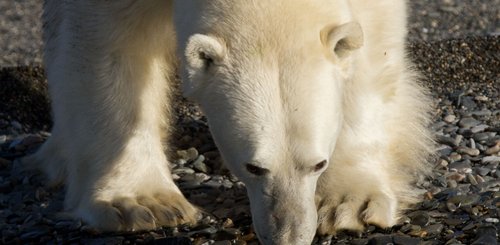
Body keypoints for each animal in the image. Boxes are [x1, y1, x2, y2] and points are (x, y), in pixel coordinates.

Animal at [21, 0, 432, 244]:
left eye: (318, 163)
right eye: (254, 167)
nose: (289, 236)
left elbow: (370, 44)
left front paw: (350, 202)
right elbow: (107, 45)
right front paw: (140, 203)